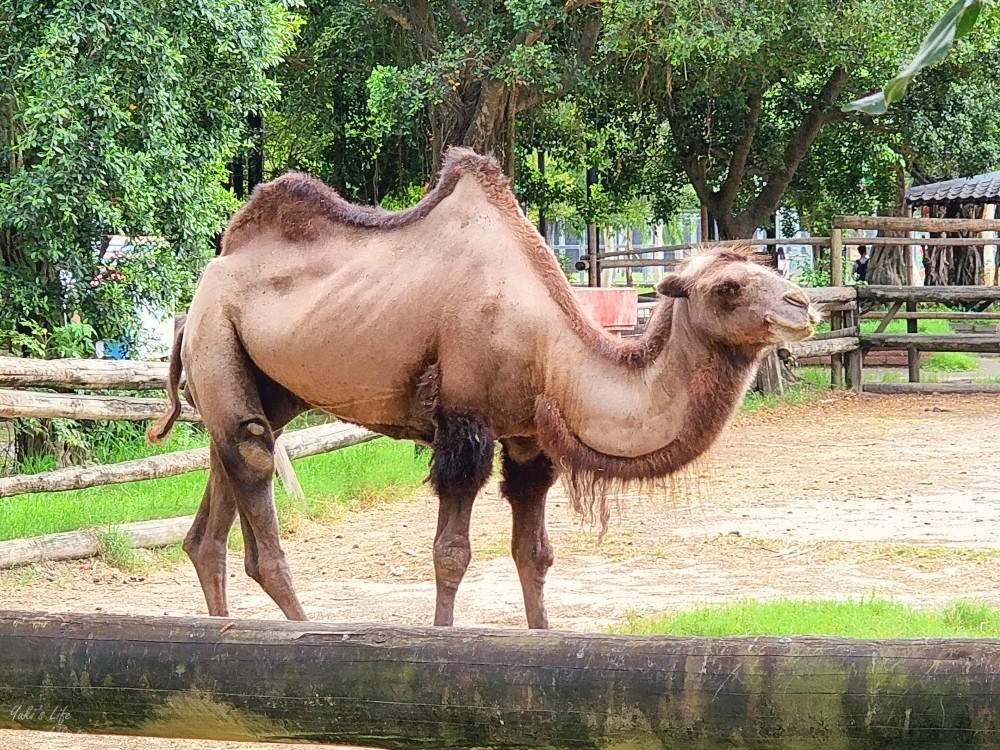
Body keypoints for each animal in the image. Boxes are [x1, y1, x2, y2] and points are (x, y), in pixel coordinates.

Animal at [148, 147, 820, 628]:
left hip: (250, 380)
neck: (549, 345)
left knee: (216, 504)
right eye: (728, 288)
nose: (802, 304)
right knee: (255, 481)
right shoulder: (463, 421)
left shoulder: (528, 438)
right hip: (217, 333)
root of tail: (198, 292)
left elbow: (536, 554)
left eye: (767, 268)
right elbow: (452, 554)